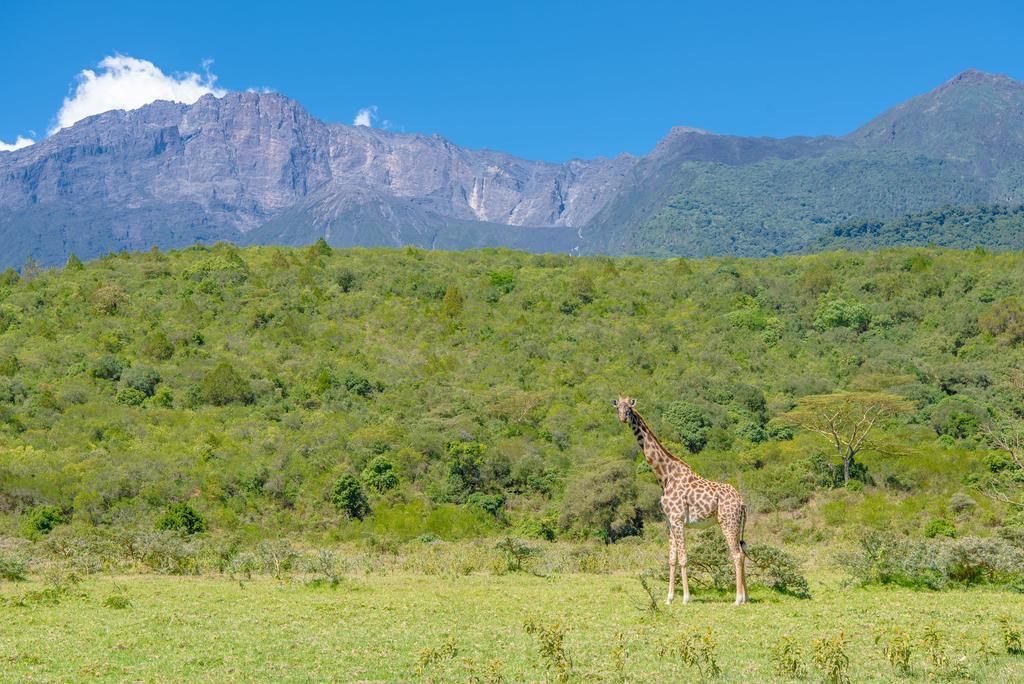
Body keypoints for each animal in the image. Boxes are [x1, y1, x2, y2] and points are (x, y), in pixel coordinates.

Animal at [610, 395, 749, 602]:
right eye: (618, 407)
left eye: (629, 409)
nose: (622, 418)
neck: (665, 477)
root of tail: (742, 503)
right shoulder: (669, 521)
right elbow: (672, 559)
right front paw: (669, 598)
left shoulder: (677, 519)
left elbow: (683, 558)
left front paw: (685, 597)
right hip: (735, 523)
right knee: (743, 553)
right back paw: (746, 597)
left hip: (728, 521)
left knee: (737, 555)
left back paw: (738, 599)